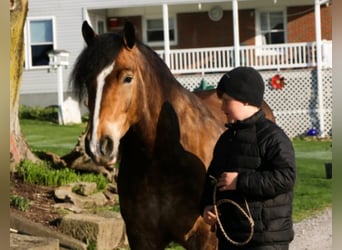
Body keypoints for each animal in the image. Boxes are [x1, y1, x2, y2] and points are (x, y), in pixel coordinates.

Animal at [71, 20, 276, 249]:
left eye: (128, 78)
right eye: (88, 81)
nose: (98, 146)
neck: (162, 160)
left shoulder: (205, 239)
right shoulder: (142, 238)